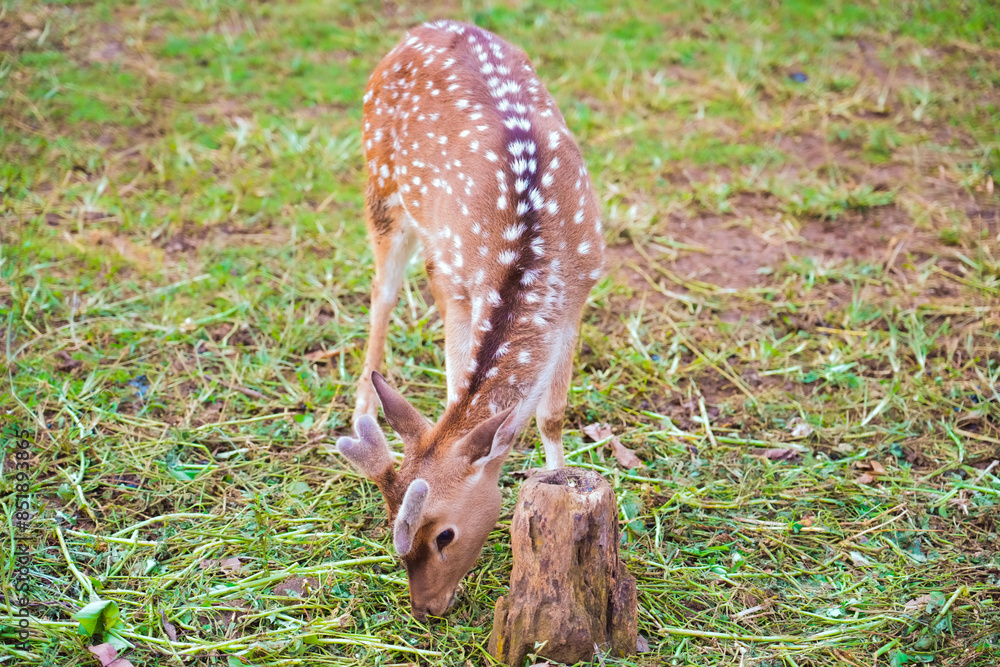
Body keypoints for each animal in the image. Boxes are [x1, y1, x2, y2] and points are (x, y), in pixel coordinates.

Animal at [336, 19, 604, 621]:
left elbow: (551, 414)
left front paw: (556, 477)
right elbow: (459, 382)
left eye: (445, 535)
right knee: (382, 292)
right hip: (380, 183)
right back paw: (360, 407)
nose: (426, 608)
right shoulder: (452, 276)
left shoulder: (581, 292)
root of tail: (427, 26)